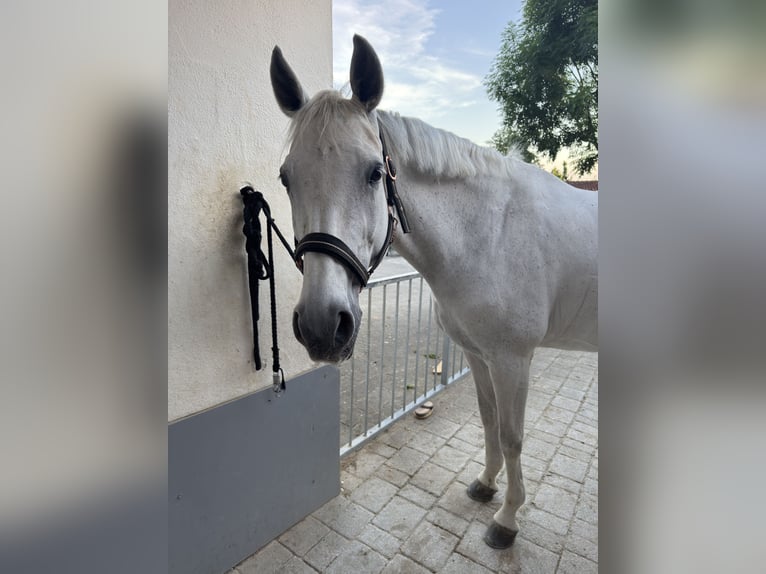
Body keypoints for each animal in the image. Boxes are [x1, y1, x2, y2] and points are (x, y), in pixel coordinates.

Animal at [269, 35, 597, 549]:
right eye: (287, 177)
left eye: (374, 173)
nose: (323, 326)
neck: (490, 234)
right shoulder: (480, 354)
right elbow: (488, 421)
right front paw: (485, 486)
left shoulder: (513, 359)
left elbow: (512, 436)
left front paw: (507, 520)